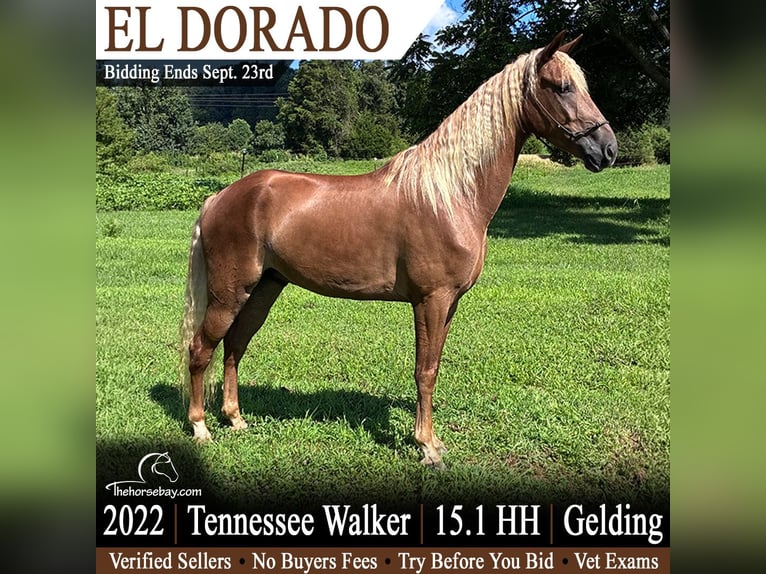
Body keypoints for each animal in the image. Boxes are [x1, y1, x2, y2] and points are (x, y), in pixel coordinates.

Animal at [179, 32, 617, 469]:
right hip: (229, 293)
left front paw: (433, 441)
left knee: (234, 346)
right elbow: (425, 371)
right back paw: (200, 428)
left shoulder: (449, 303)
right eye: (562, 87)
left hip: (265, 288)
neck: (451, 196)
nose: (608, 149)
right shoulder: (430, 300)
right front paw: (426, 447)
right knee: (201, 348)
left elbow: (433, 366)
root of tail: (219, 197)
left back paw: (235, 419)